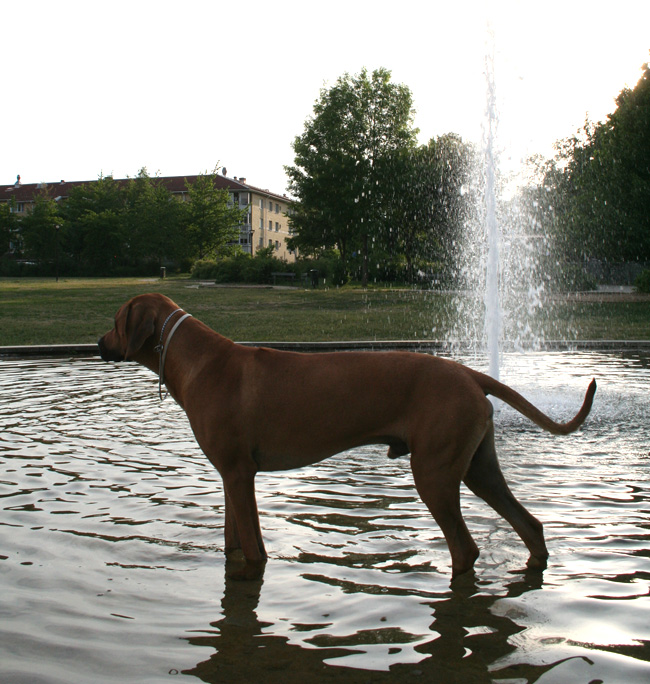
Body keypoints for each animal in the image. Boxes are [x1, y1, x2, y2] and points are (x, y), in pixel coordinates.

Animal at [97, 292, 592, 580]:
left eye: (117, 320)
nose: (99, 342)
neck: (198, 361)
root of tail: (470, 373)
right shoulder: (229, 476)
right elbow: (232, 542)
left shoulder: (240, 474)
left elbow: (254, 550)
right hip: (478, 467)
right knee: (529, 524)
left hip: (434, 472)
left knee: (465, 548)